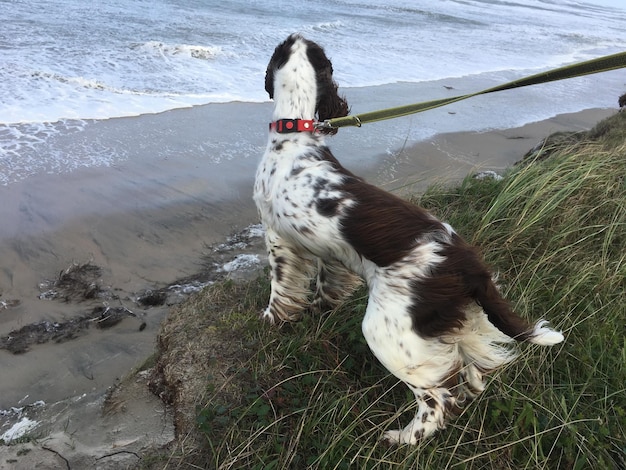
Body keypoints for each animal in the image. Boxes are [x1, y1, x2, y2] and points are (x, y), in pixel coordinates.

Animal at [251, 34, 564, 444]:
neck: (295, 136)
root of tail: (468, 264)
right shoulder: (330, 254)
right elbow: (325, 284)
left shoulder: (277, 238)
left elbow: (280, 292)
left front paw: (270, 321)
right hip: (445, 321)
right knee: (469, 365)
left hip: (388, 332)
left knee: (438, 396)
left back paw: (403, 438)